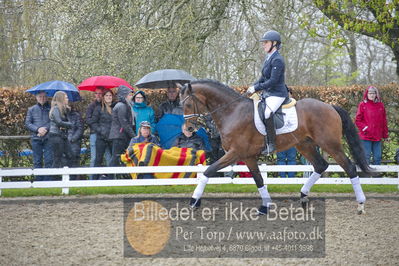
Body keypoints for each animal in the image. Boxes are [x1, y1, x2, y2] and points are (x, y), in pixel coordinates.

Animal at [178, 78, 372, 214]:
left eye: (188, 104)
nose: (188, 129)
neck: (232, 112)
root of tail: (330, 106)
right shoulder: (248, 157)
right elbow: (259, 180)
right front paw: (266, 206)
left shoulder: (235, 153)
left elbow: (208, 171)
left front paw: (194, 201)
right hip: (304, 145)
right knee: (320, 165)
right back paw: (303, 197)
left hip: (330, 144)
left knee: (349, 167)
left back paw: (361, 205)